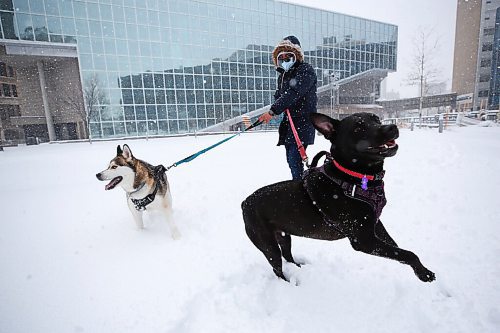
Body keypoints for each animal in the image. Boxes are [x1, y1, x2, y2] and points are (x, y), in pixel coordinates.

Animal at [242, 113, 434, 282]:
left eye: (377, 119)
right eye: (358, 128)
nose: (391, 127)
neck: (353, 177)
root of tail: (244, 202)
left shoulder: (375, 224)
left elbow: (395, 247)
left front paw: (419, 269)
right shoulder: (363, 240)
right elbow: (407, 253)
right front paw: (424, 274)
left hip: (283, 234)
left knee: (287, 255)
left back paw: (297, 267)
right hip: (267, 243)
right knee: (277, 267)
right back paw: (288, 282)